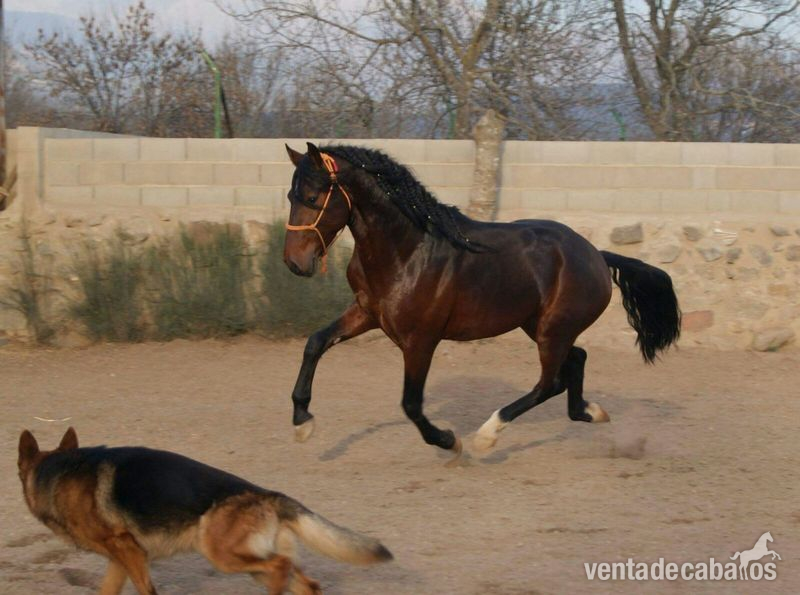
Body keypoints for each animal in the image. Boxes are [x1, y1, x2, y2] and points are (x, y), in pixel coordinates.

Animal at [282, 142, 680, 462]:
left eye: (314, 198)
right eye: (290, 197)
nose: (294, 263)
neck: (407, 251)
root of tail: (596, 254)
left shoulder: (420, 340)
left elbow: (411, 403)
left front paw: (449, 441)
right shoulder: (367, 313)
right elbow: (315, 342)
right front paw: (302, 423)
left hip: (552, 330)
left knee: (549, 382)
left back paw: (487, 436)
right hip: (540, 326)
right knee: (576, 361)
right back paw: (590, 411)